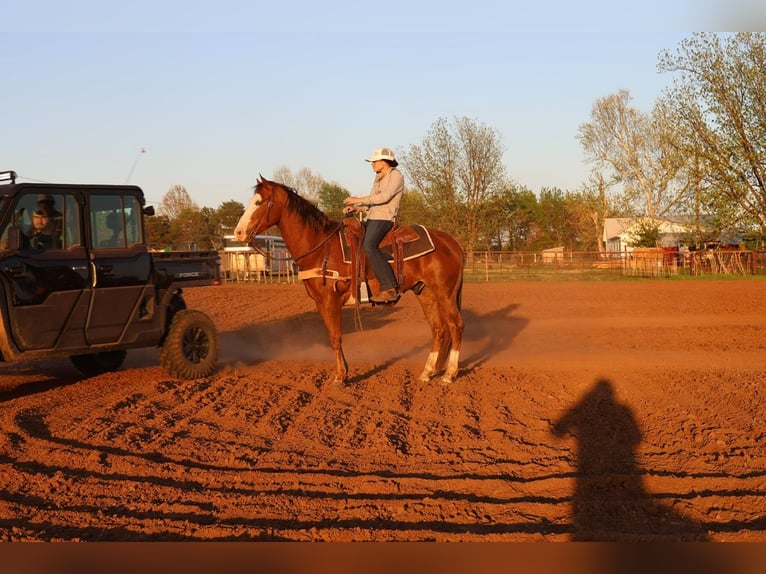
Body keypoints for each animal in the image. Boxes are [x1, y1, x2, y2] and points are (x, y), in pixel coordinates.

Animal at [234, 176, 465, 386]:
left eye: (259, 202)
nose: (239, 232)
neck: (321, 247)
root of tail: (452, 243)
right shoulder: (320, 303)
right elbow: (332, 337)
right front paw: (342, 373)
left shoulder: (331, 301)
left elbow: (336, 337)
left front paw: (340, 377)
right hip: (426, 293)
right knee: (438, 329)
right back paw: (427, 373)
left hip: (445, 293)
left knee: (456, 326)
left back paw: (449, 374)